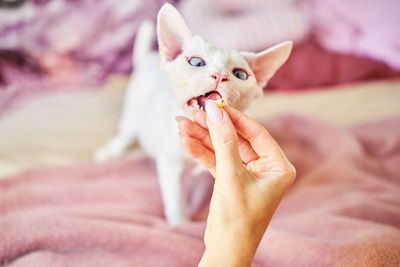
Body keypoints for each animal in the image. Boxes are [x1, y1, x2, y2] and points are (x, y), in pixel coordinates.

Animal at [95, 4, 292, 226]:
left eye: (240, 74)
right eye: (196, 62)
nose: (220, 75)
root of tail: (148, 60)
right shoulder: (170, 167)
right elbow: (176, 200)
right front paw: (180, 225)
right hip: (132, 113)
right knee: (126, 133)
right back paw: (110, 151)